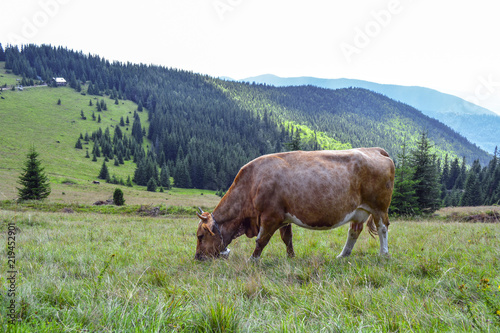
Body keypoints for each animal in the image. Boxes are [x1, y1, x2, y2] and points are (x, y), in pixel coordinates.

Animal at [194, 147, 394, 260]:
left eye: (200, 236)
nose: (197, 258)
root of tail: (375, 149)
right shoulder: (284, 217)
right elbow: (287, 238)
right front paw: (291, 257)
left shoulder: (270, 216)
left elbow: (261, 240)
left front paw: (253, 260)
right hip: (359, 210)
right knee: (354, 231)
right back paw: (343, 255)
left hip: (379, 207)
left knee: (383, 228)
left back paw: (384, 254)